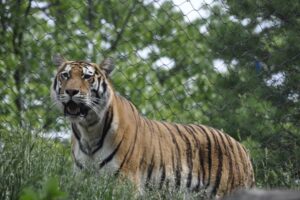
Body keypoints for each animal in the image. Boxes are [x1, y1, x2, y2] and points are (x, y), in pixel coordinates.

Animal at [50, 55, 254, 198]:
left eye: (87, 77)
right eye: (65, 75)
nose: (71, 91)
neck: (89, 129)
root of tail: (242, 148)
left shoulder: (125, 182)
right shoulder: (81, 180)